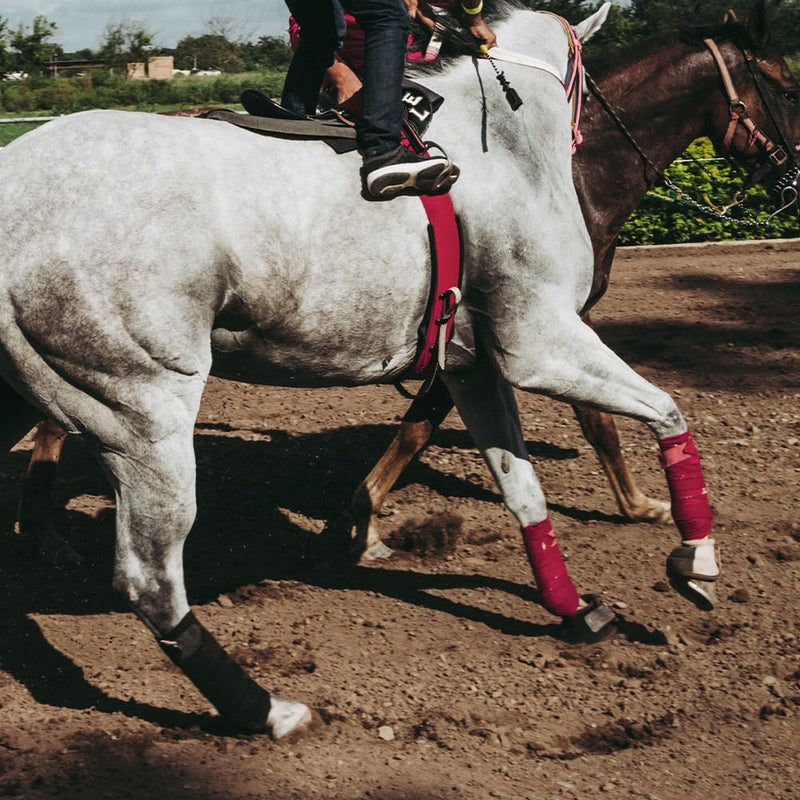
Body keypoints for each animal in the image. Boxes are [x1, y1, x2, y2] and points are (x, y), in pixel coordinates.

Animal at [0, 1, 792, 739]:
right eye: (784, 82)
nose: (789, 176)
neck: (509, 145)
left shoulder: (474, 364)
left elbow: (522, 492)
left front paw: (573, 610)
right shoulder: (540, 342)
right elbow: (662, 414)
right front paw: (693, 554)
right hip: (145, 412)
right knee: (150, 581)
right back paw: (263, 709)